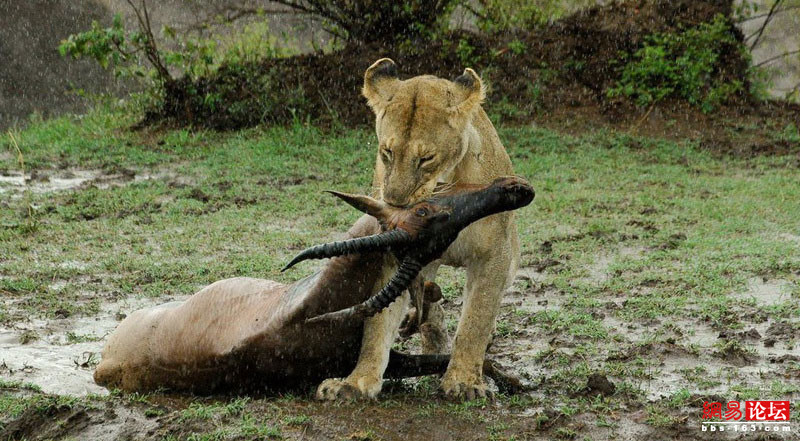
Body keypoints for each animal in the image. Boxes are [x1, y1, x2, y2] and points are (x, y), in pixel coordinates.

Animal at [94, 175, 532, 392]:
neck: (311, 311)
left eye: (436, 247)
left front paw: (512, 382)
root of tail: (106, 364)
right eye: (423, 211)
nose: (515, 190)